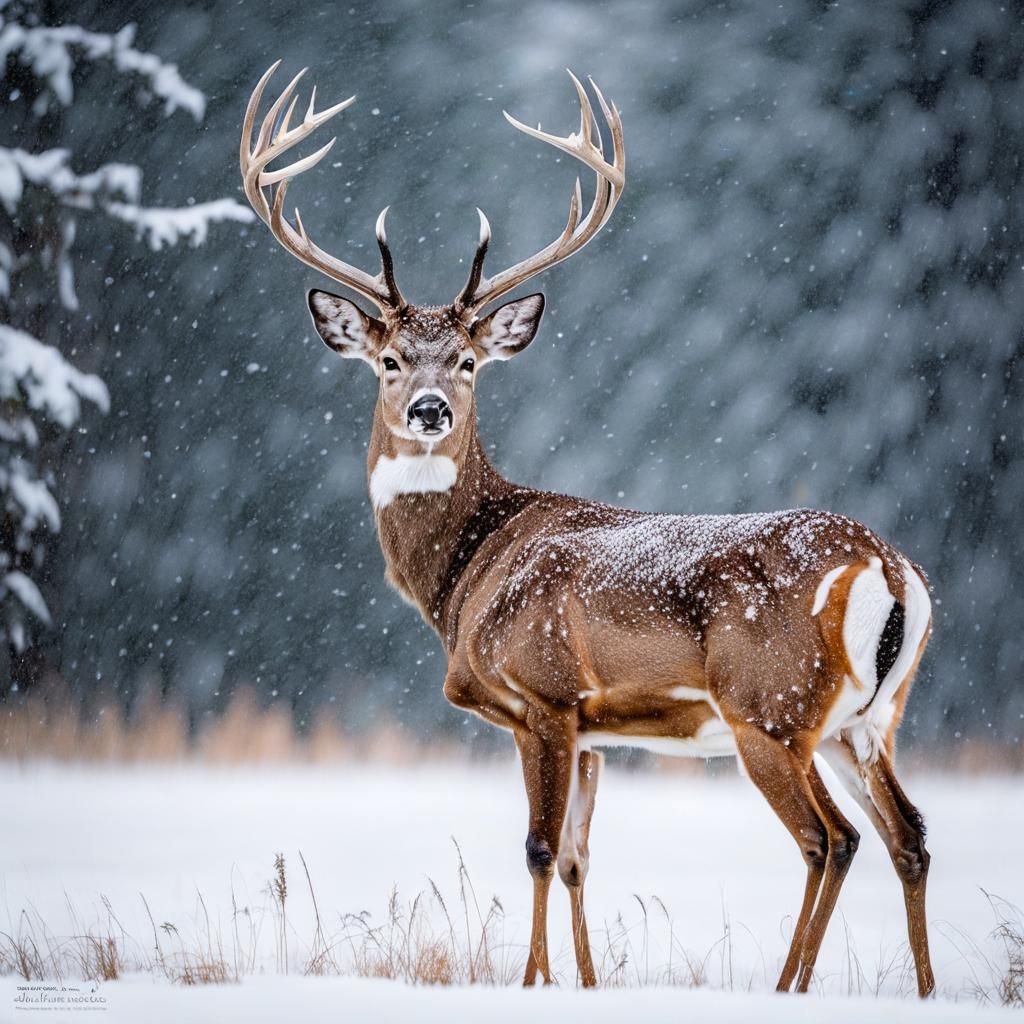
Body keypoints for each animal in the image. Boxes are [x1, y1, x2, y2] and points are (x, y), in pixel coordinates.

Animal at [240, 61, 936, 997]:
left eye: (468, 361)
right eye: (389, 360)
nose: (427, 409)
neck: (464, 572)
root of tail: (889, 570)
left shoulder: (541, 697)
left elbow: (538, 849)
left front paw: (532, 983)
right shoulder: (596, 731)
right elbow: (578, 857)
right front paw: (587, 982)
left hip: (771, 709)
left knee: (832, 839)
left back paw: (789, 987)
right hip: (868, 719)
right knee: (909, 836)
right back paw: (925, 988)